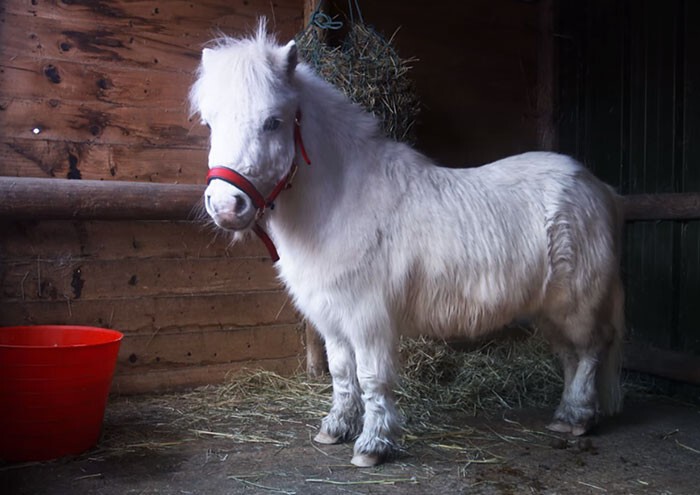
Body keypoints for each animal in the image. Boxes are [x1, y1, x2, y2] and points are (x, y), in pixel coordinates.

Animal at [189, 21, 628, 466]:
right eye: (209, 124)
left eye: (273, 122)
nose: (226, 206)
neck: (341, 201)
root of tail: (598, 187)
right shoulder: (332, 318)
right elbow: (342, 374)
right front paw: (336, 429)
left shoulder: (367, 319)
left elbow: (371, 379)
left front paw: (372, 445)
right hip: (550, 310)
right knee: (571, 355)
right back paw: (565, 416)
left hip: (577, 303)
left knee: (590, 350)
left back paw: (577, 418)